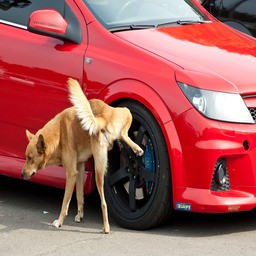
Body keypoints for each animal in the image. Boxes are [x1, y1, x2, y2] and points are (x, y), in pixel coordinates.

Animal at [22, 78, 144, 234]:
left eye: (30, 158)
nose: (22, 174)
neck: (59, 132)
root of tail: (100, 118)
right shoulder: (79, 169)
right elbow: (79, 196)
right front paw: (80, 215)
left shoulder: (71, 173)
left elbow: (65, 203)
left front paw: (59, 222)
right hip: (125, 112)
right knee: (123, 133)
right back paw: (137, 149)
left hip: (99, 172)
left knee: (103, 203)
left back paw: (106, 227)